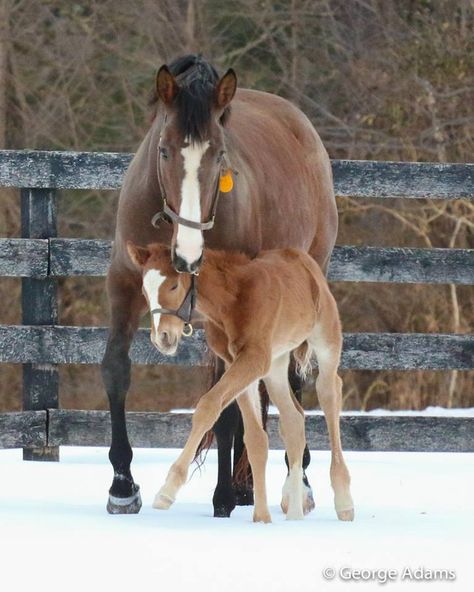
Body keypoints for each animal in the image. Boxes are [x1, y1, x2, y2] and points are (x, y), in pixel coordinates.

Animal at [128, 240, 354, 524]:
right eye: (144, 291)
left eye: (173, 286)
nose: (163, 338)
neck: (233, 300)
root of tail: (305, 262)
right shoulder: (239, 361)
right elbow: (255, 438)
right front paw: (262, 516)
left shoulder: (253, 358)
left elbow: (208, 406)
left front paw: (167, 491)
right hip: (275, 365)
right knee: (293, 420)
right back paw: (295, 513)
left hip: (325, 342)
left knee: (330, 393)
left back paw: (344, 502)